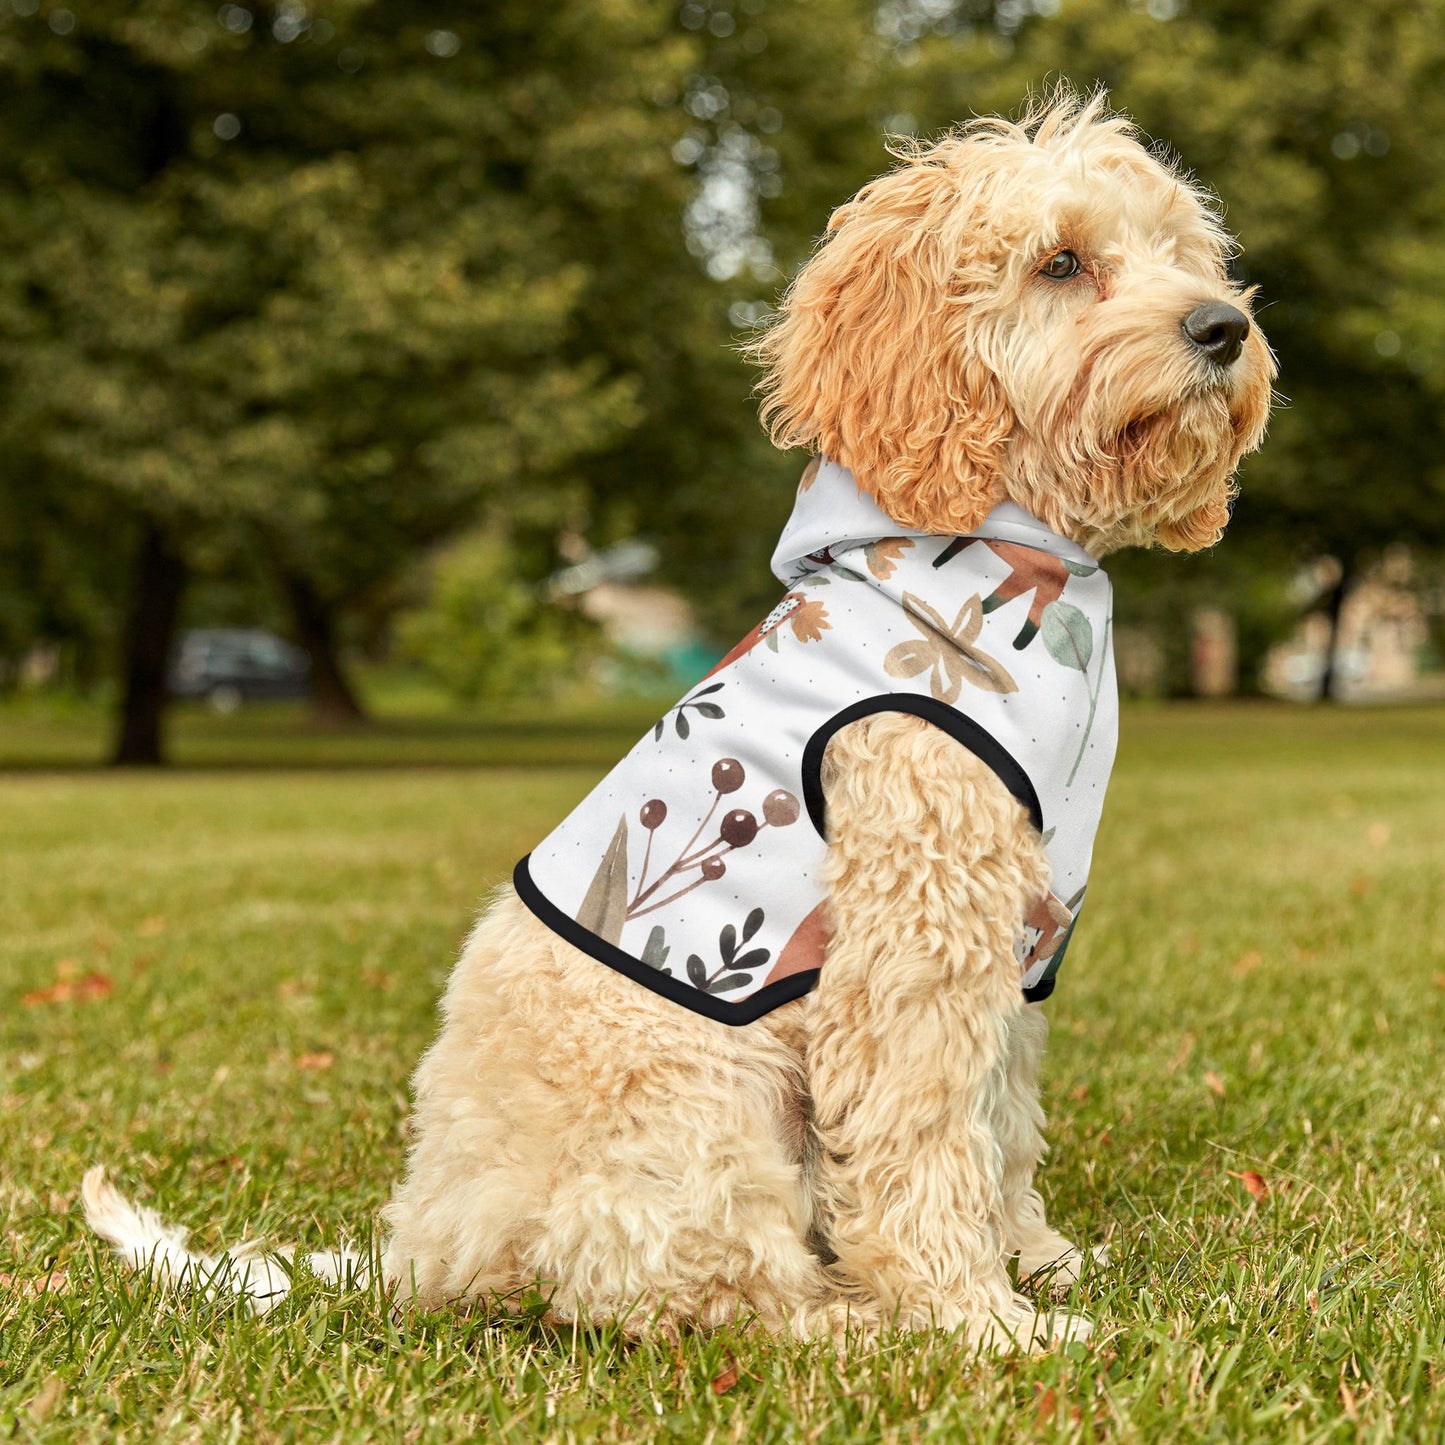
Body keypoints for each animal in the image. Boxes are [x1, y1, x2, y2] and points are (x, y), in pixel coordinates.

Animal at [84, 93, 1271, 1352]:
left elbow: (998, 1120)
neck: (995, 550)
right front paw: (976, 1318)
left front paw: (1035, 1259)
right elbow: (923, 1136)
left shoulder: (1017, 938)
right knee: (702, 1292)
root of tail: (424, 1247)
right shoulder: (913, 940)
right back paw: (852, 1322)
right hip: (702, 1103)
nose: (1222, 327)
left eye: (1180, 252)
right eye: (1060, 262)